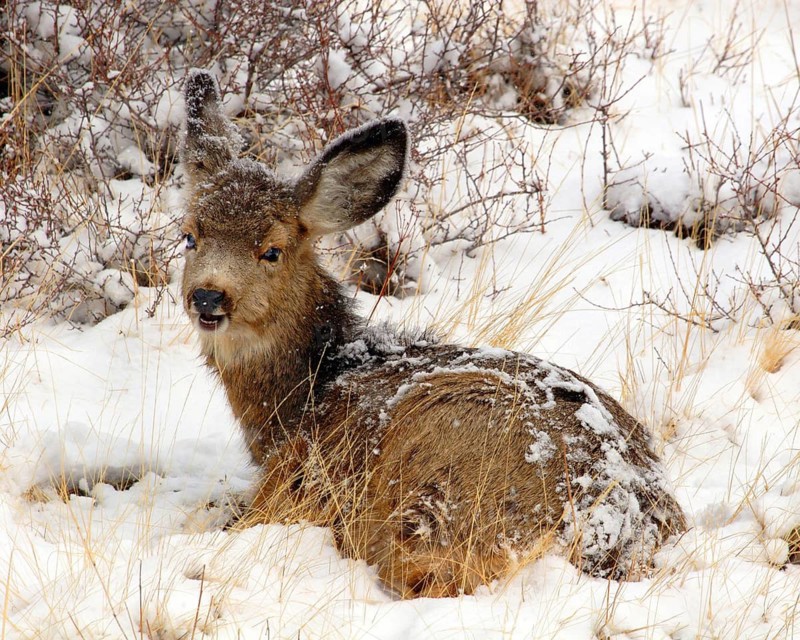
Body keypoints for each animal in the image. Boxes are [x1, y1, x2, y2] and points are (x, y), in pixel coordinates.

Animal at [179, 69, 686, 598]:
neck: (307, 392)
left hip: (437, 491)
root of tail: (618, 532)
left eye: (272, 250)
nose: (208, 297)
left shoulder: (294, 481)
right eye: (189, 235)